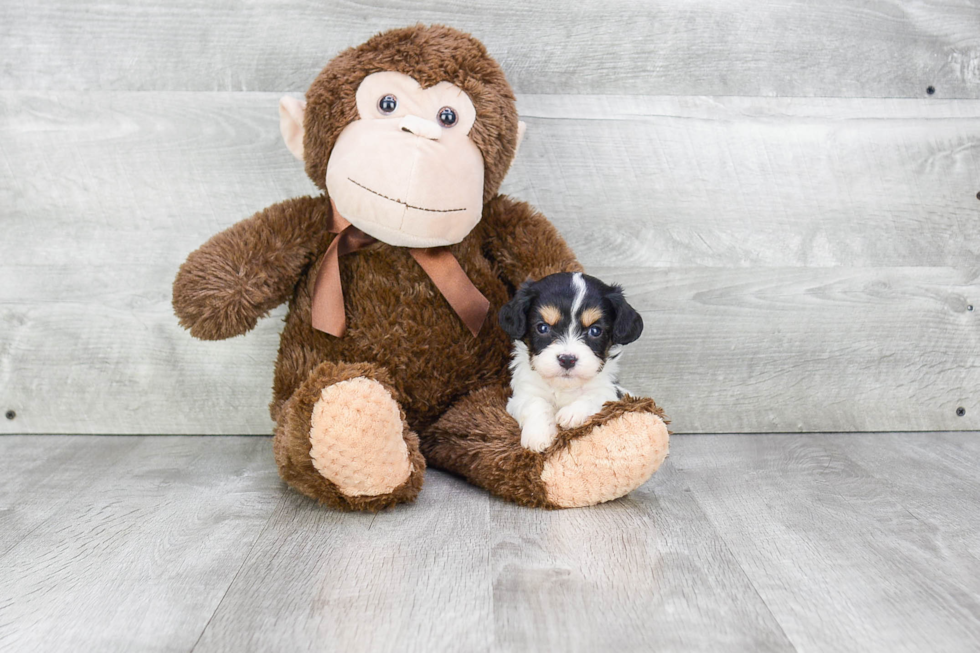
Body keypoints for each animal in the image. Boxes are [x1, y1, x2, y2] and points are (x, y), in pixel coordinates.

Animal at [498, 272, 644, 450]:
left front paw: (572, 413)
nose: (567, 360)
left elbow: (593, 397)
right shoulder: (522, 394)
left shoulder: (609, 392)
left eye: (595, 331)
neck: (564, 386)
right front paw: (538, 435)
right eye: (542, 328)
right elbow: (535, 402)